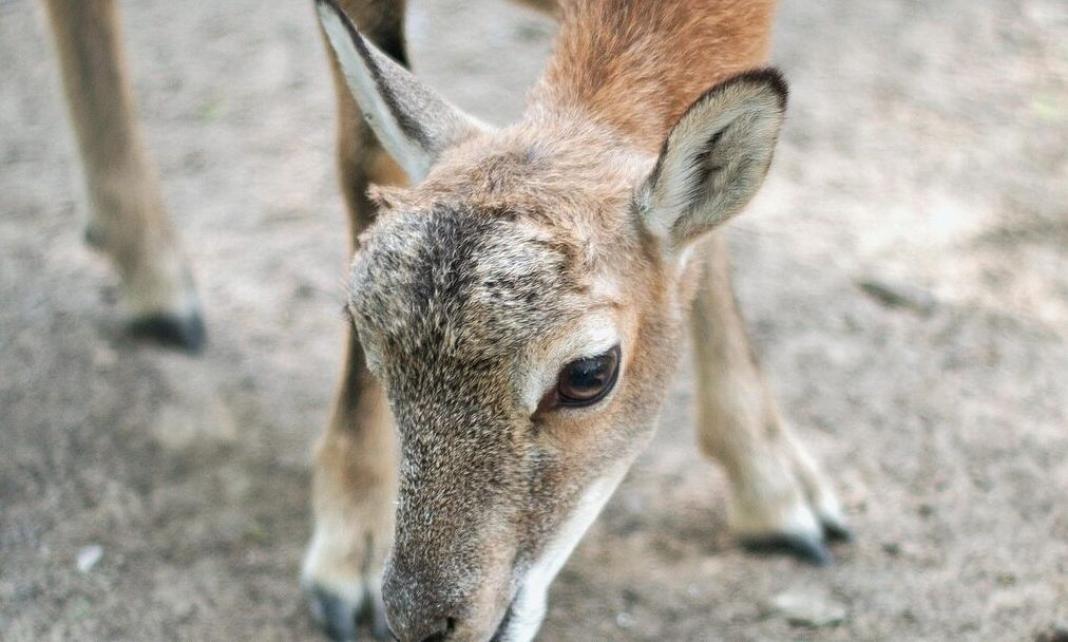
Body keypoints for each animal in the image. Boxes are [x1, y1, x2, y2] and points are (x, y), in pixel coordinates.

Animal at [43, 1, 850, 640]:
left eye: (590, 372)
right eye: (362, 329)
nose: (426, 621)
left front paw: (783, 495)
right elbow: (364, 158)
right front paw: (349, 557)